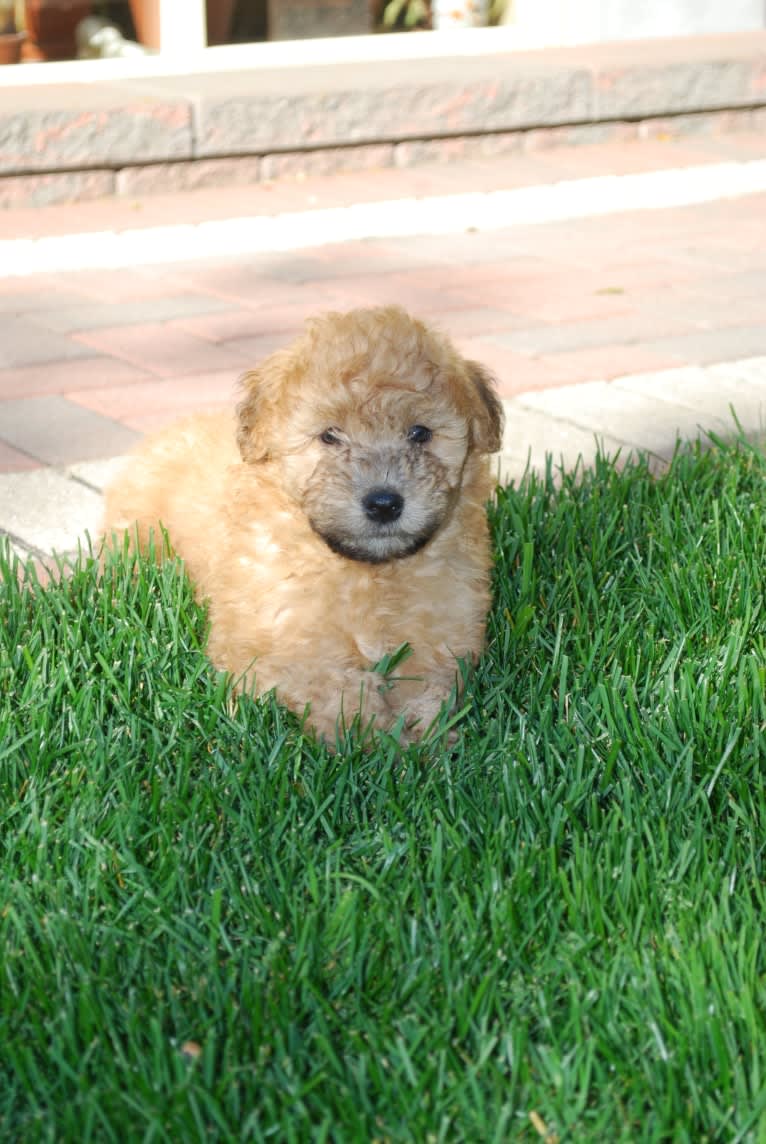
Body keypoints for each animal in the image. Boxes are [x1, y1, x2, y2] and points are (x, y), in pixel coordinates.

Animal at [101, 308, 503, 745]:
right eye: (329, 436)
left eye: (419, 433)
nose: (383, 503)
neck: (365, 574)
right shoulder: (271, 642)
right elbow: (326, 683)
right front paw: (370, 734)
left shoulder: (445, 631)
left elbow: (429, 684)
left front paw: (424, 734)